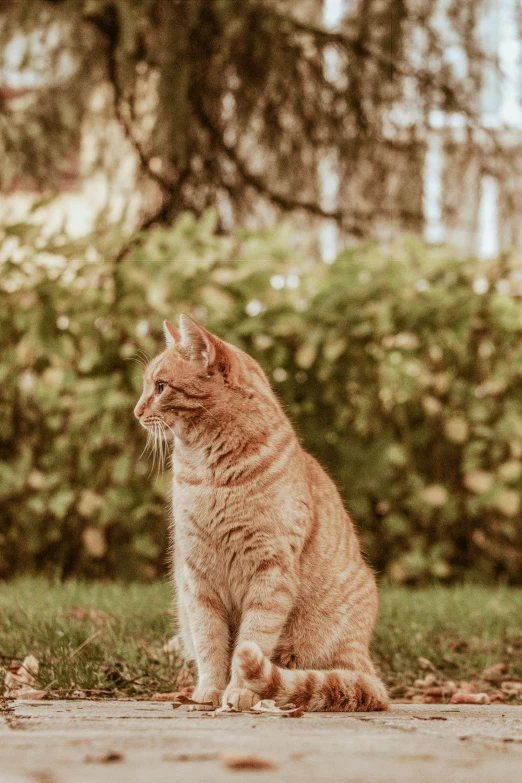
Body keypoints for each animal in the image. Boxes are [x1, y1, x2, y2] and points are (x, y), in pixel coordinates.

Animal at [134, 316, 386, 712]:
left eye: (160, 387)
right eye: (148, 386)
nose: (137, 412)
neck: (210, 474)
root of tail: (362, 659)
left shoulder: (270, 571)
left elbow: (252, 637)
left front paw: (239, 692)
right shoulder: (198, 577)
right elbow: (210, 643)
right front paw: (210, 690)